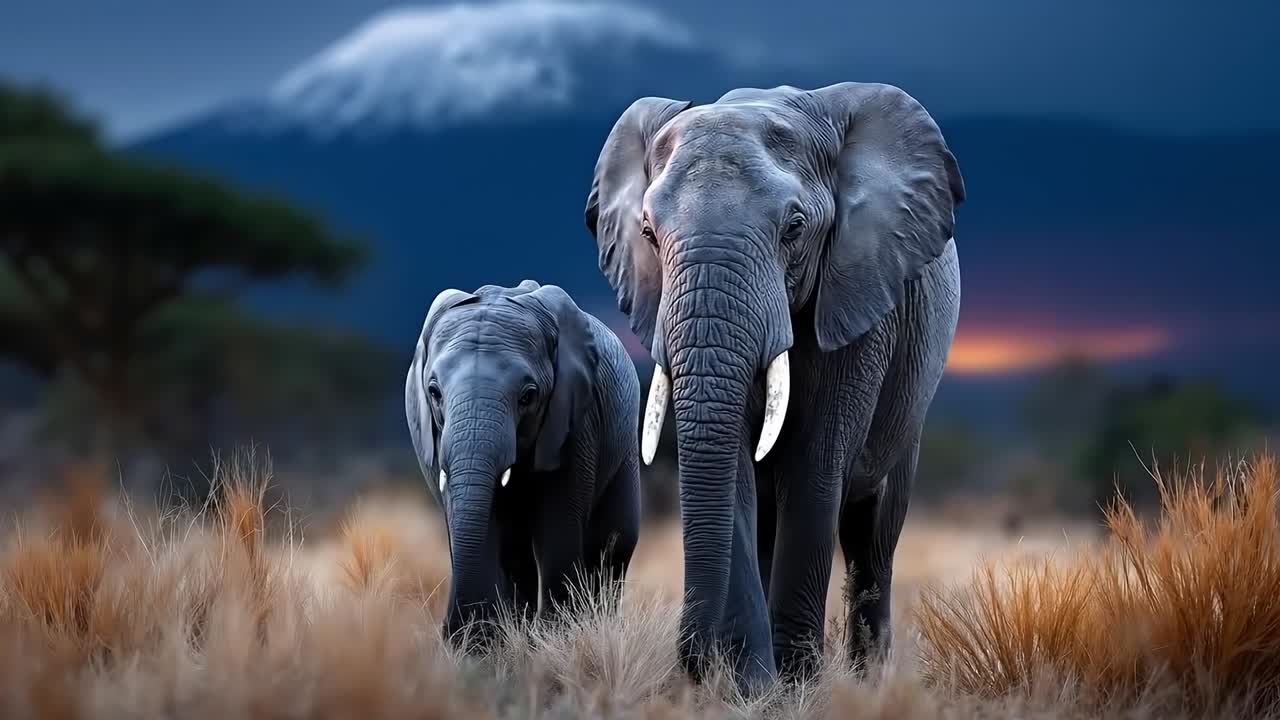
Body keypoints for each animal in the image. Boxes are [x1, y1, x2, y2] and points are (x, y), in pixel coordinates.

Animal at [404, 280, 642, 643]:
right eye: (434, 392)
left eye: (528, 396)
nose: (449, 633)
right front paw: (481, 646)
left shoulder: (578, 419)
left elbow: (557, 524)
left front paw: (558, 639)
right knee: (517, 554)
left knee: (613, 542)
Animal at [584, 82, 964, 689]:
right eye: (647, 233)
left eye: (794, 228)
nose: (688, 664)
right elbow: (735, 471)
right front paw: (754, 688)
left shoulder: (857, 296)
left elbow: (815, 468)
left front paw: (796, 686)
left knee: (873, 535)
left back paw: (868, 681)